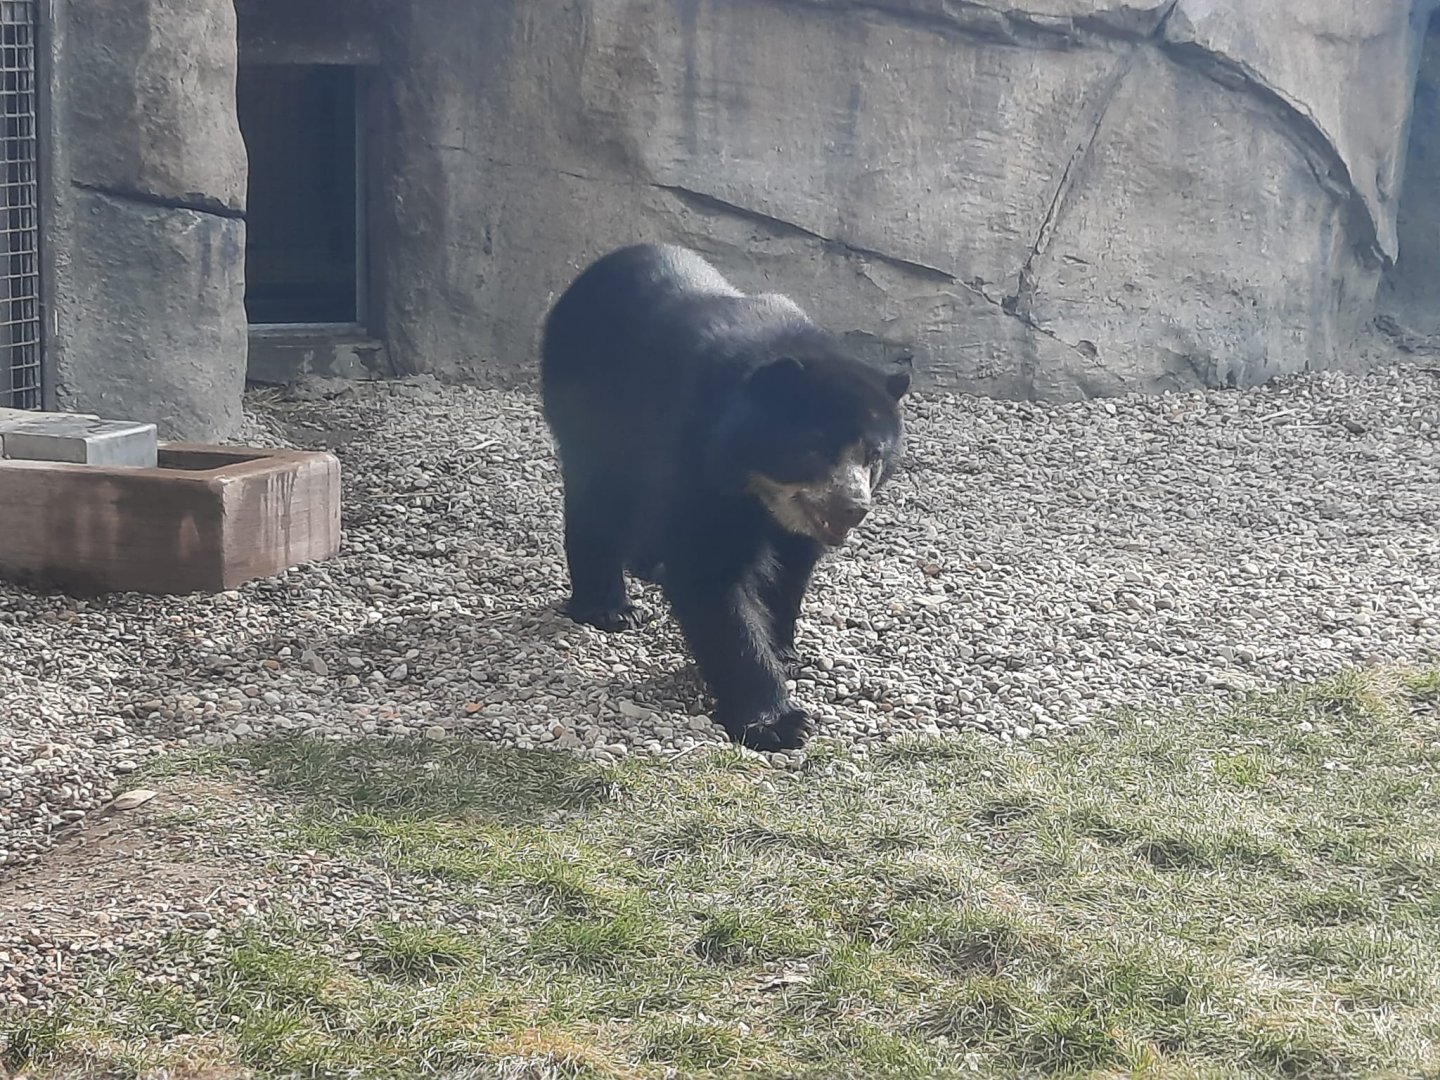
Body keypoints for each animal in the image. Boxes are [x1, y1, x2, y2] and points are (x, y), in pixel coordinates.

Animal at [539, 243, 911, 752]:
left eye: (874, 455)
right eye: (816, 450)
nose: (853, 508)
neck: (760, 487)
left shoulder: (796, 519)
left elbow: (791, 568)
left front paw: (784, 651)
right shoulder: (697, 453)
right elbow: (709, 573)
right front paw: (778, 722)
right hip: (589, 401)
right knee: (598, 497)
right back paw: (609, 609)